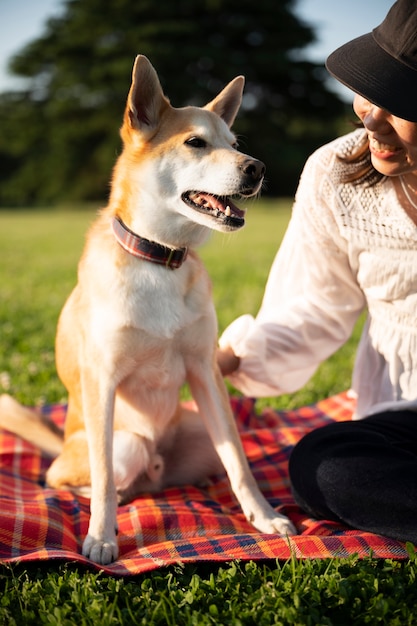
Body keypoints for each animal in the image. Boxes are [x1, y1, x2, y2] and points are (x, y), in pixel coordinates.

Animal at [0, 56, 296, 564]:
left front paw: (263, 515)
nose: (257, 167)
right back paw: (115, 497)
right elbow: (101, 478)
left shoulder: (204, 372)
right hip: (126, 442)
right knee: (70, 478)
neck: (159, 257)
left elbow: (239, 461)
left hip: (196, 429)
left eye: (234, 144)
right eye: (196, 143)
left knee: (210, 460)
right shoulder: (102, 381)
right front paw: (101, 536)